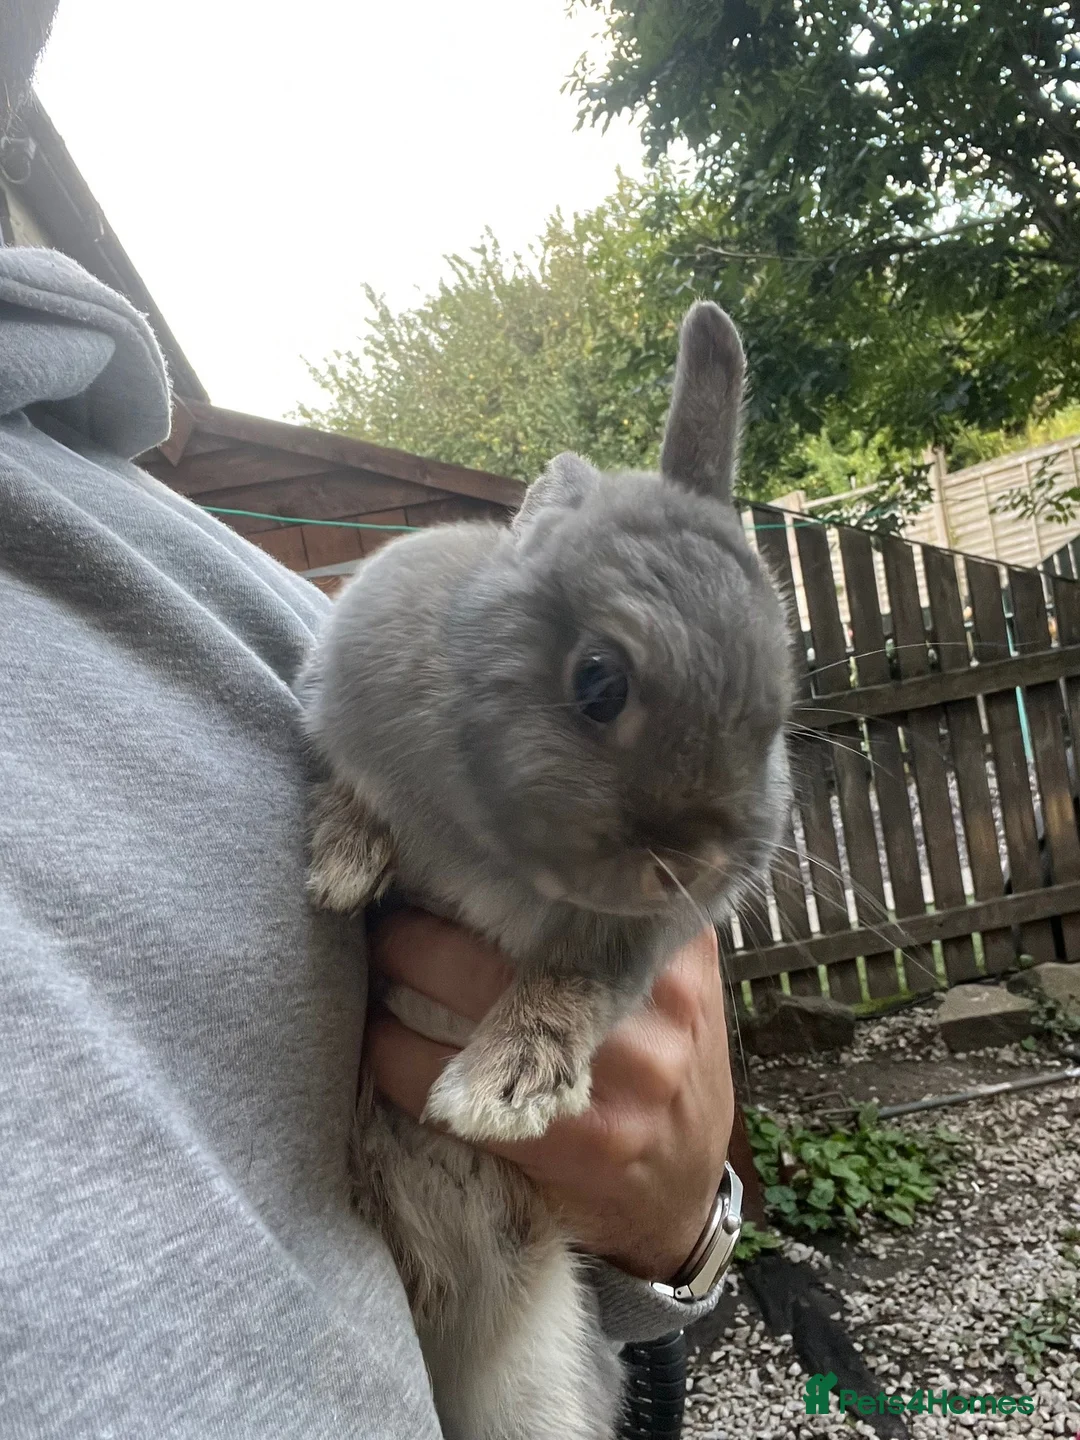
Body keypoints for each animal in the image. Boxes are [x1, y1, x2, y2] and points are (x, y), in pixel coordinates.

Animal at [299, 300, 794, 1440]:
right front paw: (341, 863)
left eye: (777, 700)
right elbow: (353, 783)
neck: (494, 840)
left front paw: (501, 1089)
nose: (698, 858)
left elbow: (577, 981)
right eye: (599, 681)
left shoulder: (631, 938)